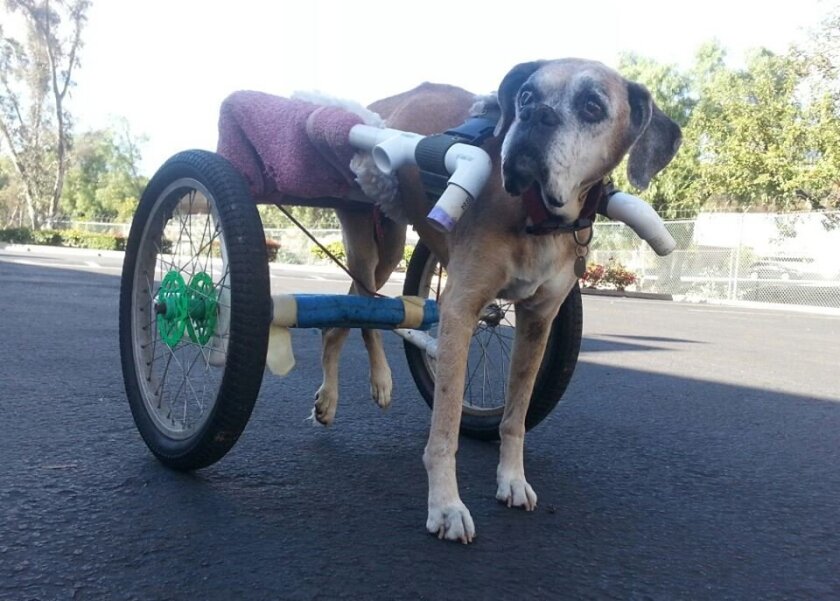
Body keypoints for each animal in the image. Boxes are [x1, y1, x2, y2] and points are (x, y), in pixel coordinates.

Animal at [312, 58, 680, 540]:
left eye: (592, 106)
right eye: (525, 95)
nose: (536, 115)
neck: (536, 216)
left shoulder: (538, 322)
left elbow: (516, 415)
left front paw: (512, 479)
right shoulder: (461, 308)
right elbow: (446, 426)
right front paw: (446, 506)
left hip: (388, 245)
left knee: (367, 306)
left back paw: (380, 381)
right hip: (369, 240)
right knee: (350, 311)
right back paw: (333, 396)